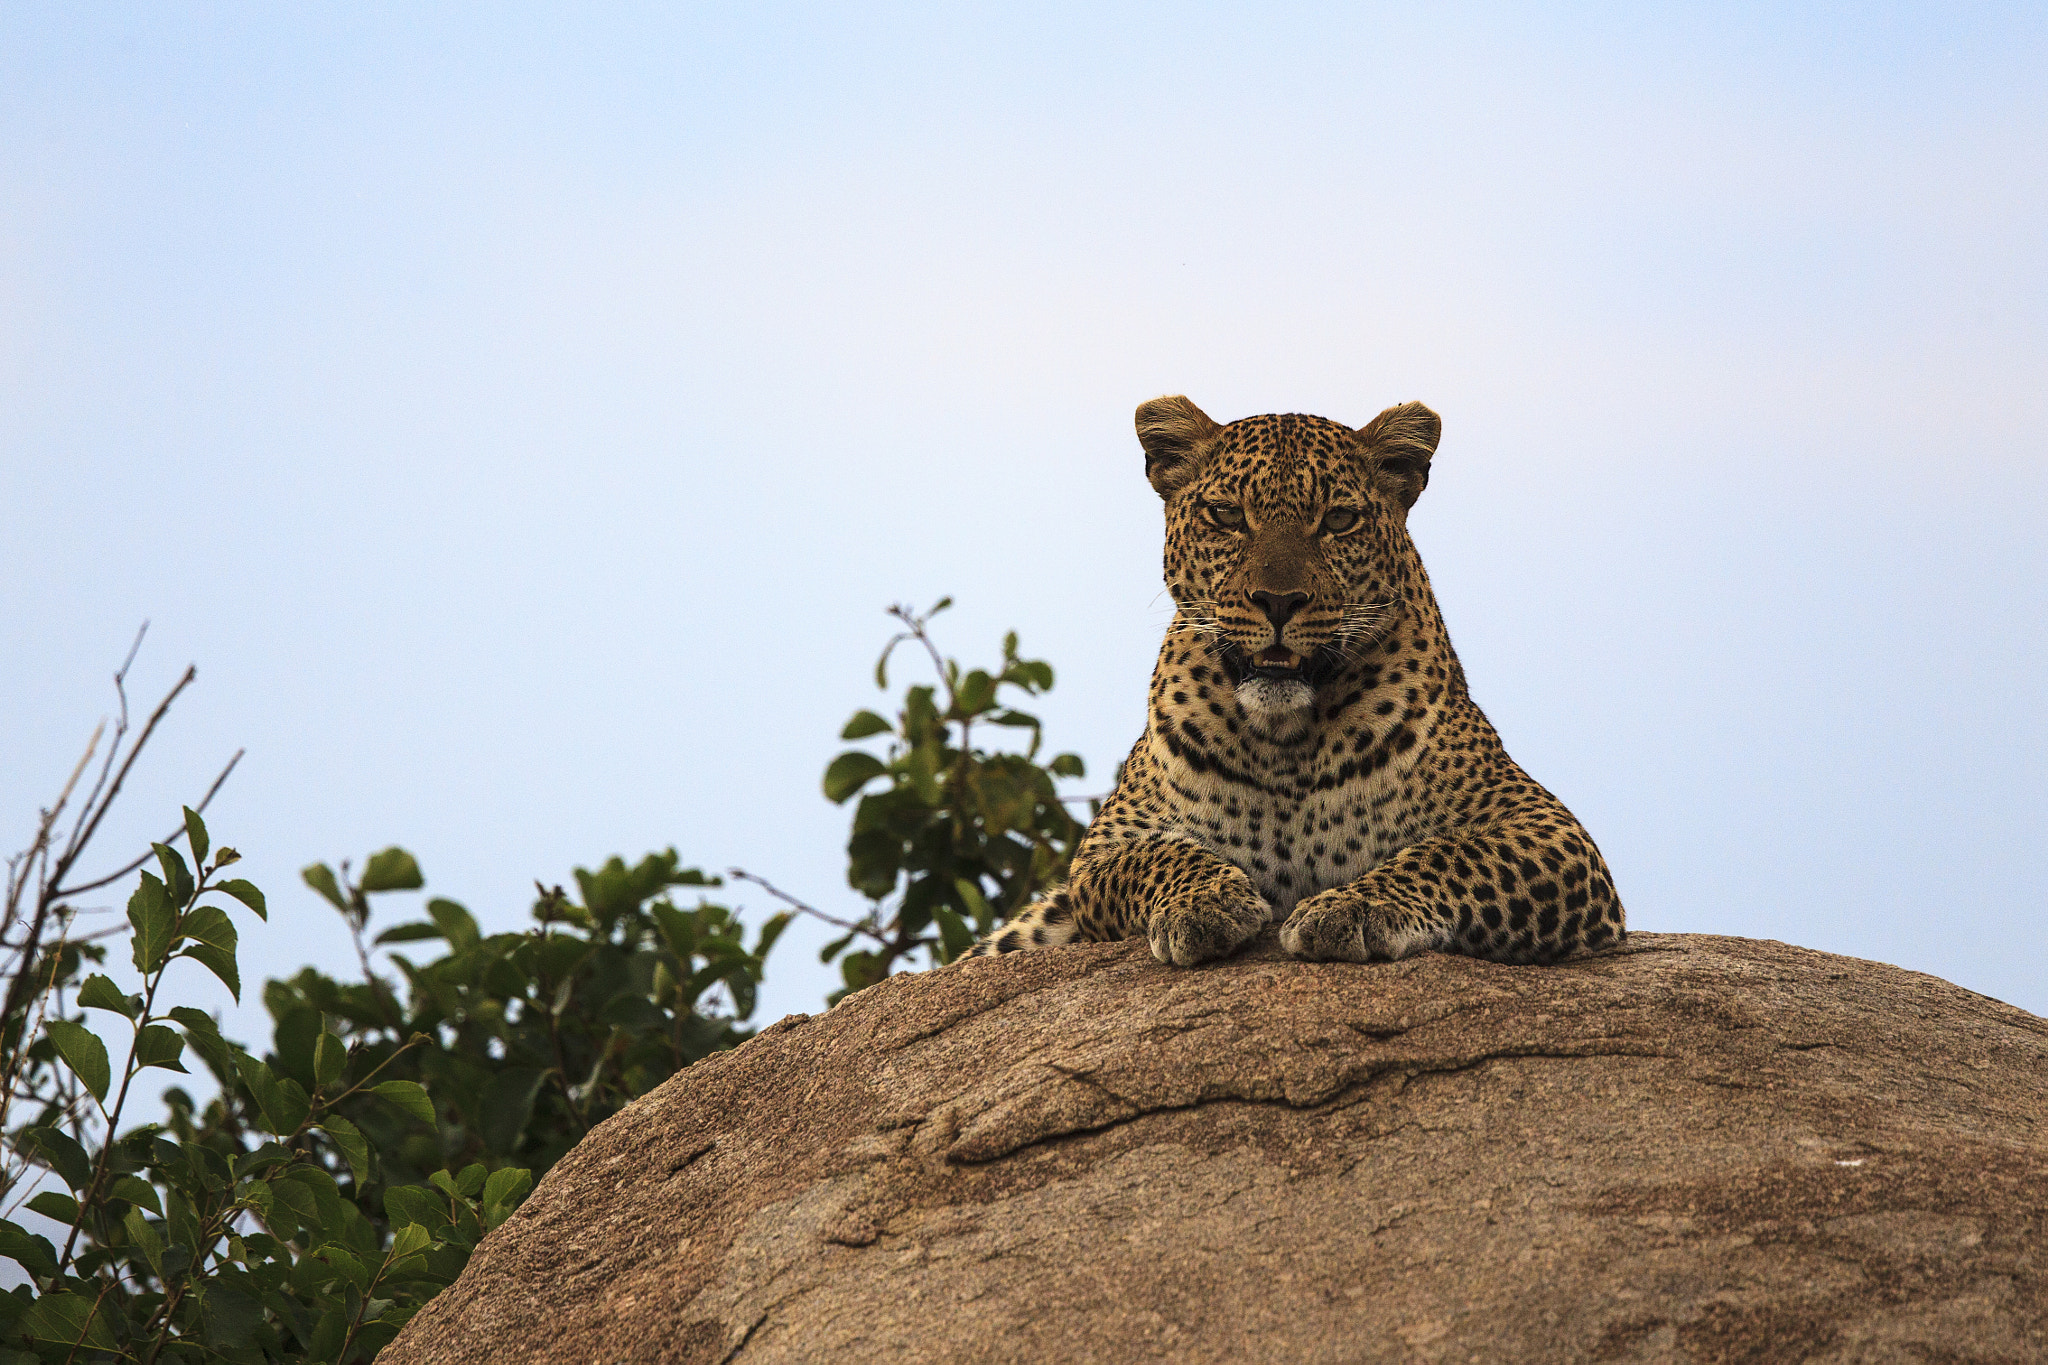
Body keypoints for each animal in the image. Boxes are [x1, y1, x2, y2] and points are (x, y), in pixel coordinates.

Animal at [966, 394, 1622, 970]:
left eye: (1339, 520)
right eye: (1227, 515)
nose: (1278, 601)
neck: (1285, 743)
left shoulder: (1546, 826)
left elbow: (1452, 854)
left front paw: (1353, 908)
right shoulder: (1103, 851)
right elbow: (1159, 854)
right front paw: (1208, 903)